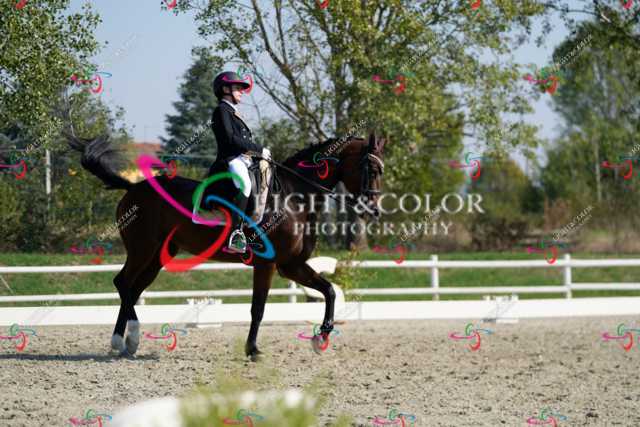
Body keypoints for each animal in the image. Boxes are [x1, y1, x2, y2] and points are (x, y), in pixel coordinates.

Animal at [67, 133, 386, 360]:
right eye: (369, 167)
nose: (373, 209)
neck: (294, 197)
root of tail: (134, 187)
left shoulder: (290, 265)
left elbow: (329, 290)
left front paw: (322, 338)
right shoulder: (268, 264)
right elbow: (258, 308)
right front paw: (252, 349)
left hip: (157, 258)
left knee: (132, 290)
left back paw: (124, 344)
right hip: (142, 249)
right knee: (123, 283)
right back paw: (126, 339)